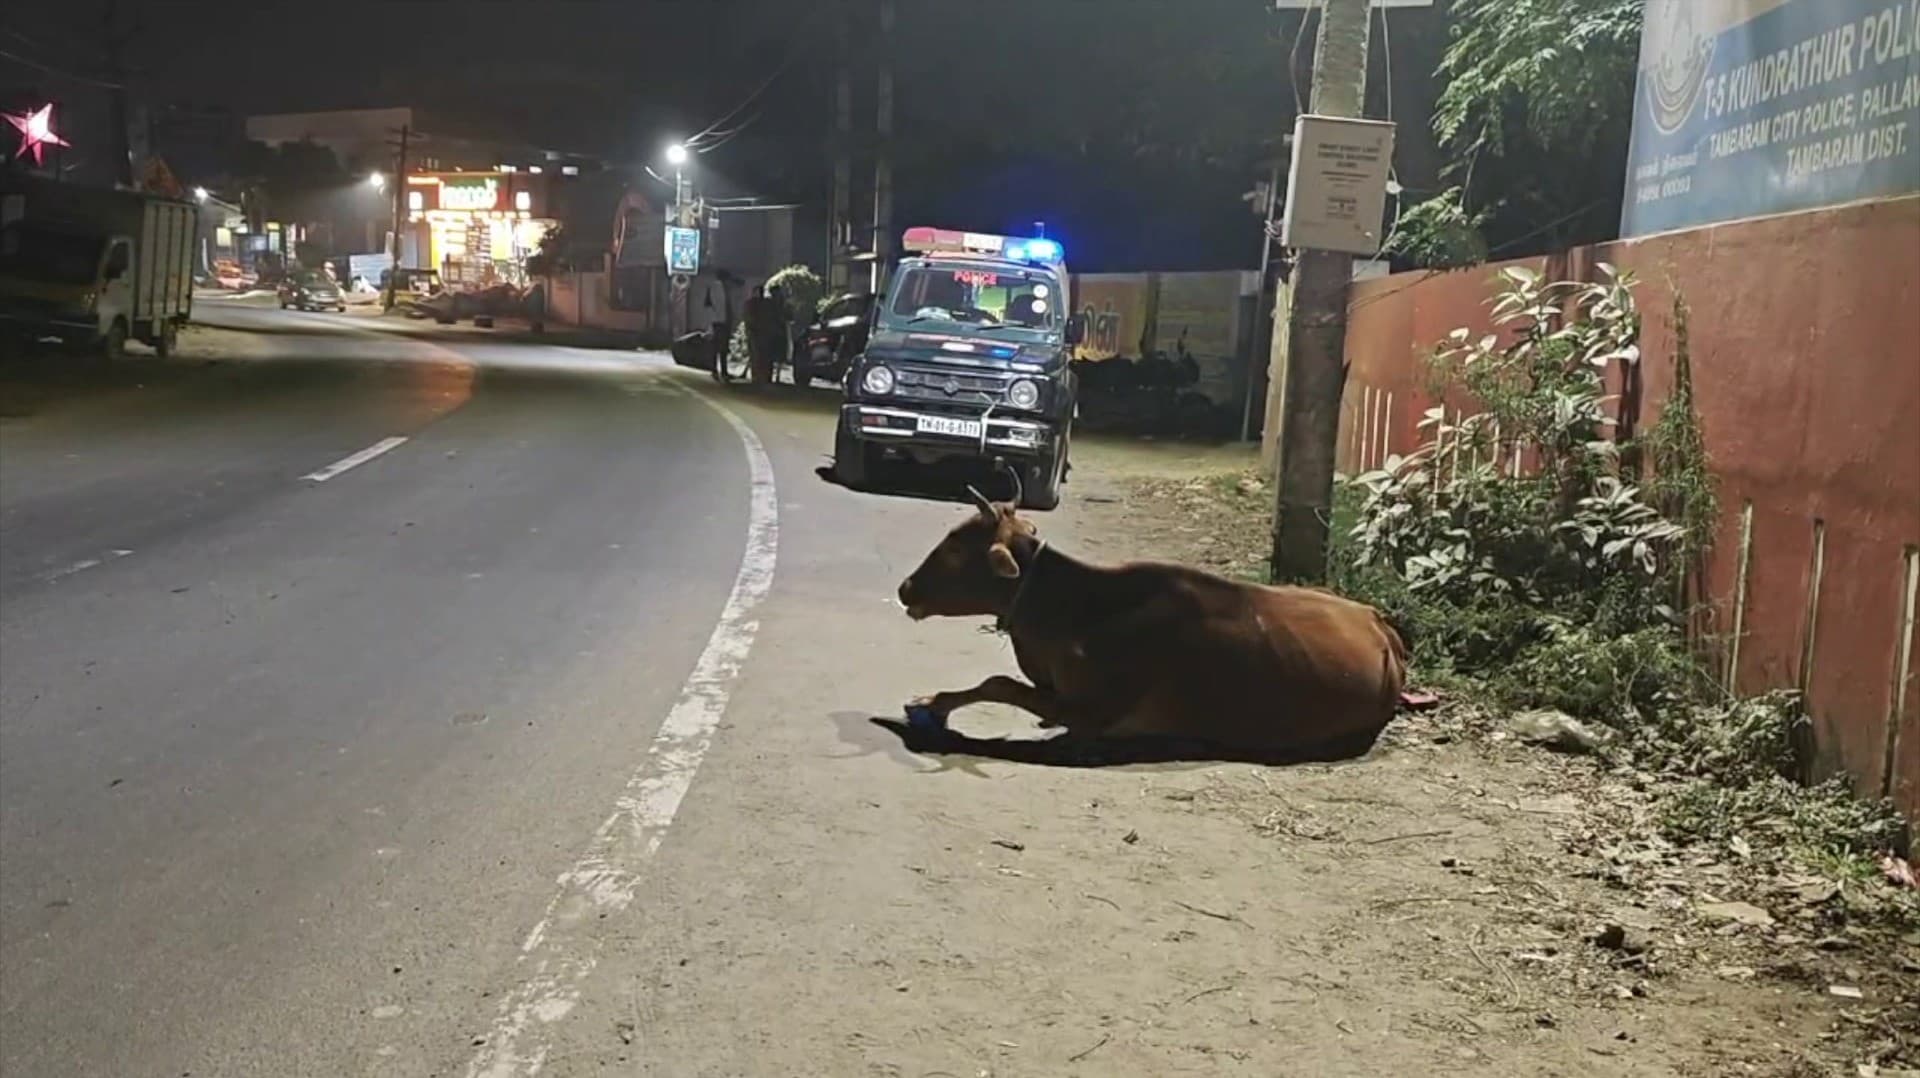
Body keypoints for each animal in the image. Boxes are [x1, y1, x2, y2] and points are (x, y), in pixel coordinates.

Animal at [894, 488, 1413, 757]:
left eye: (956, 543)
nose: (905, 589)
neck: (1073, 608)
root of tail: (1380, 624)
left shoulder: (1092, 712)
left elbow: (999, 683)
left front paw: (932, 706)